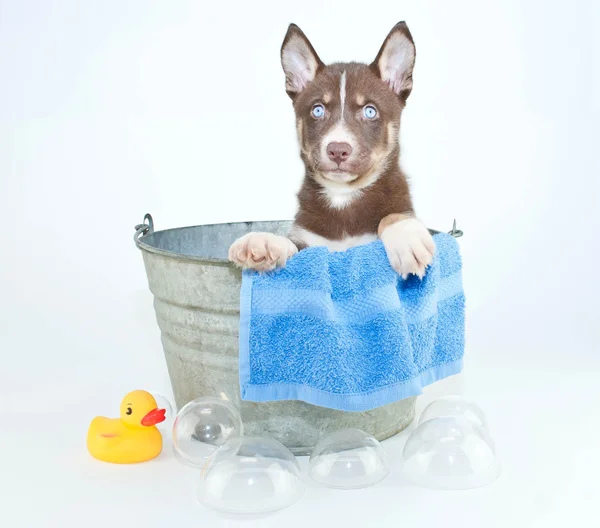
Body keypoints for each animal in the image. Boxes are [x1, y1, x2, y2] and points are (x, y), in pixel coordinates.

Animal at [227, 22, 434, 280]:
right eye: (317, 110)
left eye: (370, 111)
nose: (337, 150)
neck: (342, 195)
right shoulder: (310, 241)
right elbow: (292, 245)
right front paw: (264, 241)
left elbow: (392, 216)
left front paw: (406, 238)